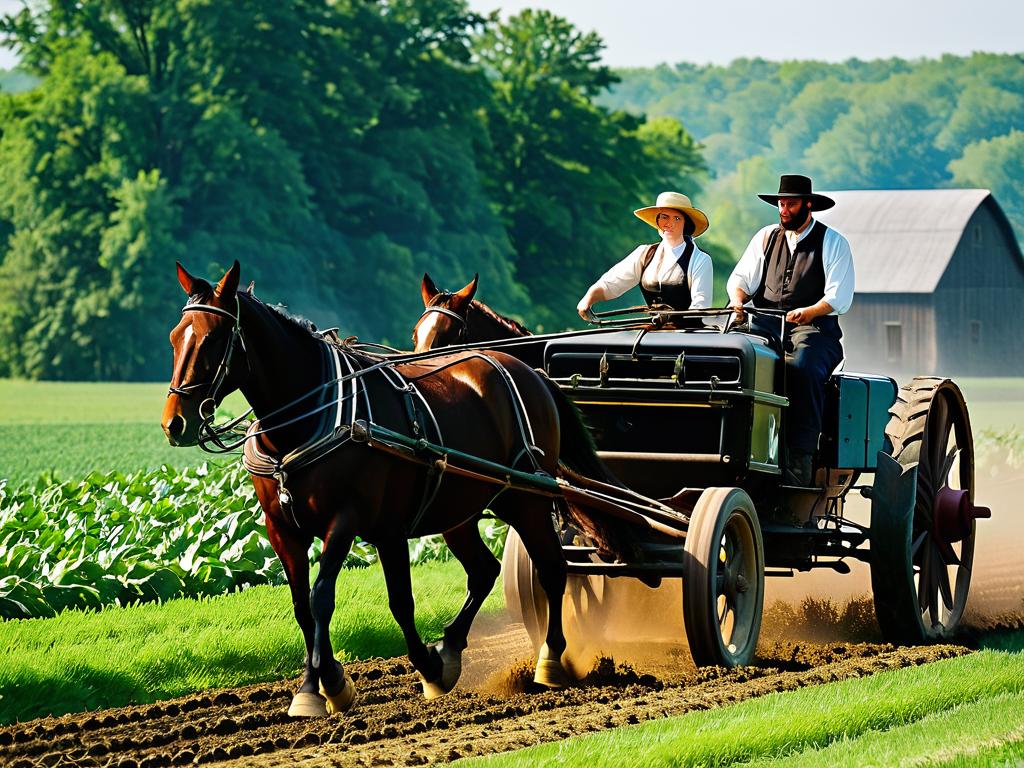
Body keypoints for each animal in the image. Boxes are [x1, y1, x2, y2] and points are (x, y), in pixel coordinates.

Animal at [158, 262, 606, 720]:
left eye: (213, 338)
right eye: (175, 336)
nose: (175, 423)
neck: (310, 418)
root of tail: (529, 371)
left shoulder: (350, 521)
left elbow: (334, 598)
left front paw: (332, 682)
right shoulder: (284, 528)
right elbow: (305, 605)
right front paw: (320, 682)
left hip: (527, 499)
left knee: (552, 568)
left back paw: (550, 659)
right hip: (459, 510)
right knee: (484, 570)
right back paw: (452, 646)